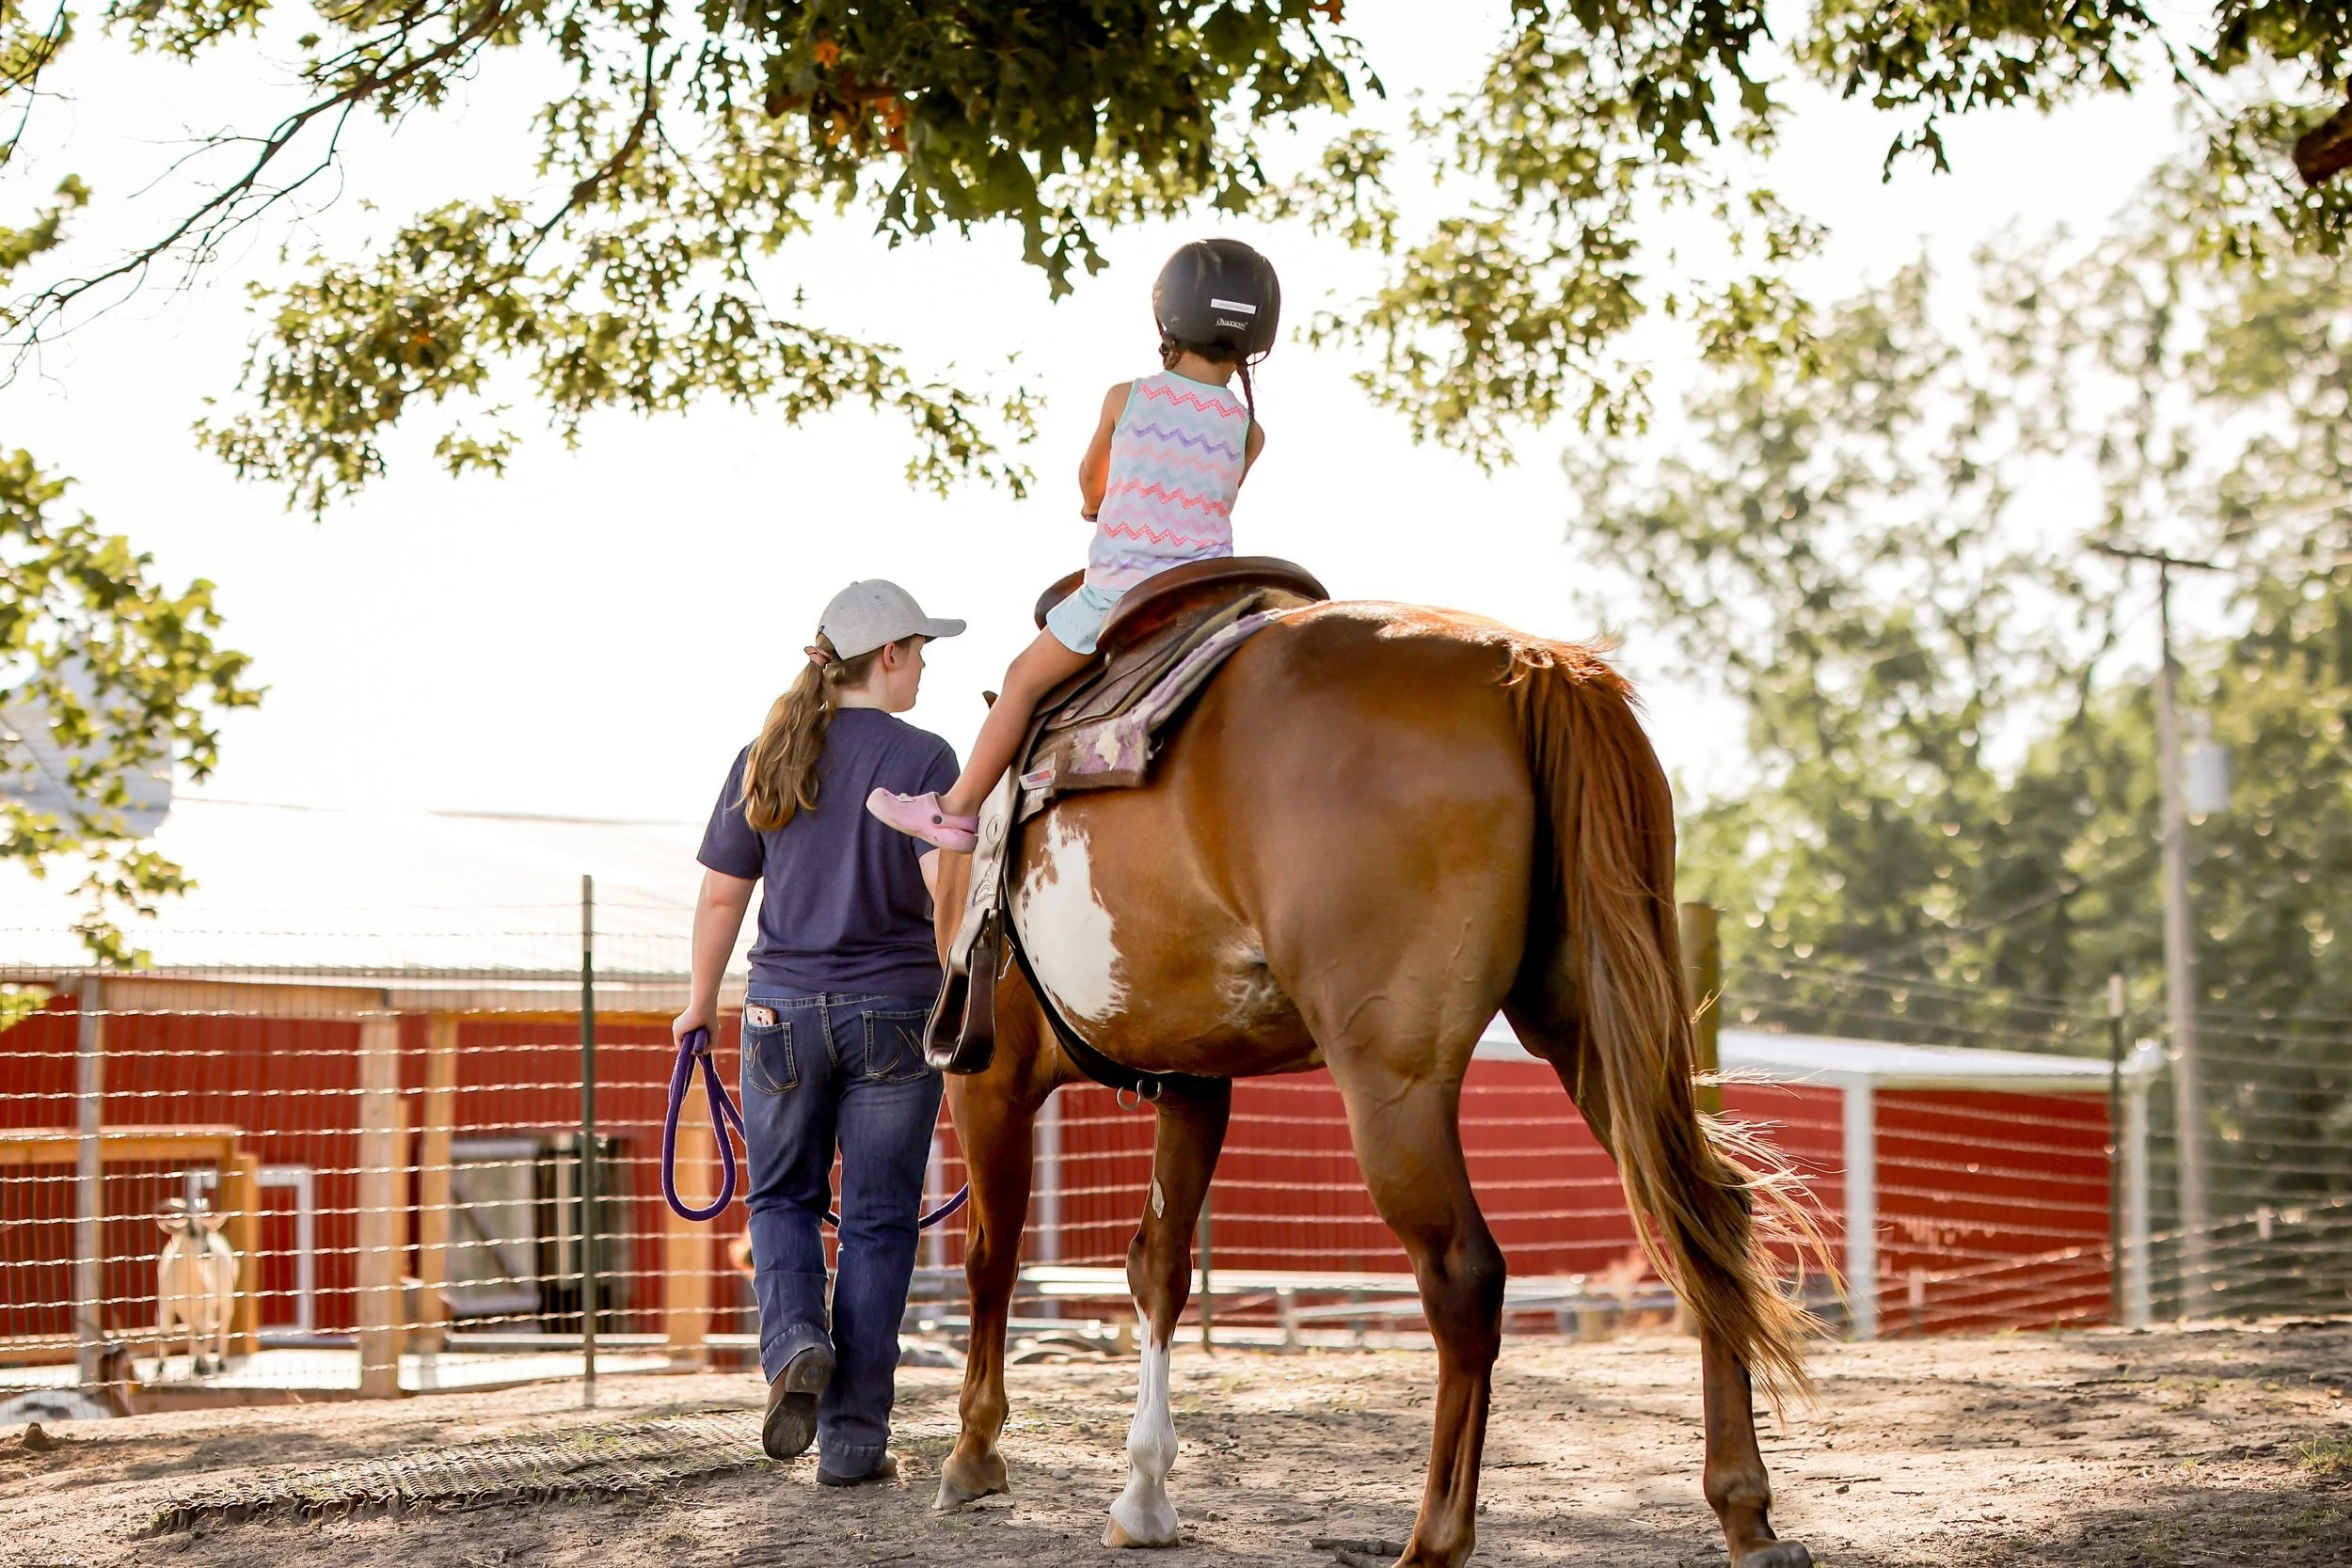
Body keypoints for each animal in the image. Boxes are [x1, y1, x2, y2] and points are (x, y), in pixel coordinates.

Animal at [929, 599, 1820, 1568]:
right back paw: (1746, 1511)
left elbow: (991, 1256)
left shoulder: (991, 1081)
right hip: (1594, 1028)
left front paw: (973, 1451)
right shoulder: (1194, 1080)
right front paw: (1144, 1492)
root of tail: (1531, 662)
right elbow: (1158, 1267)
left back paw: (1434, 1539)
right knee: (1711, 1215)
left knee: (1464, 1273)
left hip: (1394, 1081)